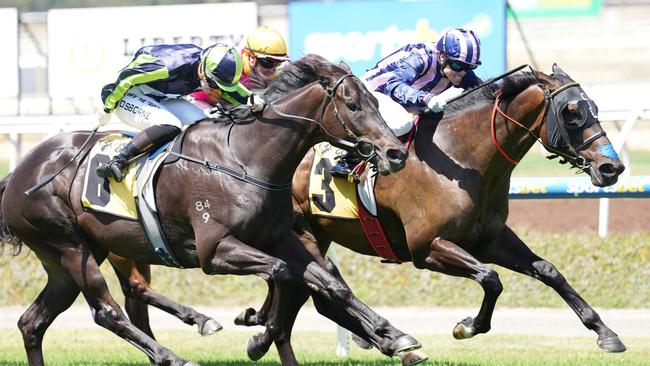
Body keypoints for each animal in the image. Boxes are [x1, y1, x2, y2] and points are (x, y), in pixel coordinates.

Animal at [0, 55, 420, 366]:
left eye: (376, 103)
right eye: (352, 105)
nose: (395, 154)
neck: (248, 159)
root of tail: (19, 171)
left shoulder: (280, 239)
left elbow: (330, 283)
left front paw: (394, 335)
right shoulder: (214, 251)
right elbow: (282, 274)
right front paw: (259, 334)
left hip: (73, 257)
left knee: (32, 322)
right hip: (70, 247)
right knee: (106, 311)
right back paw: (174, 355)